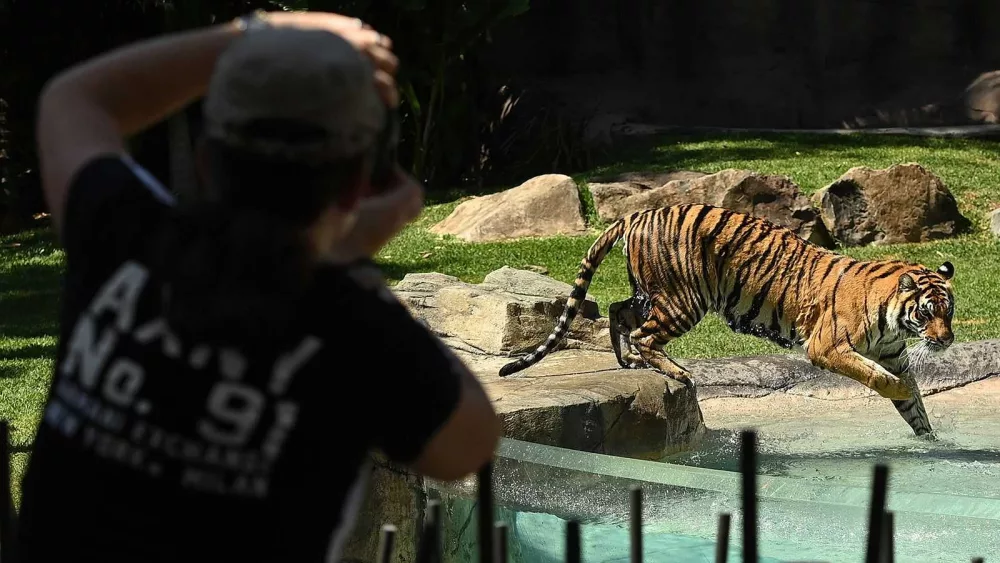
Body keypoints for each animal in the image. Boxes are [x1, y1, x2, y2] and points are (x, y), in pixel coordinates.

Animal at [496, 204, 956, 440]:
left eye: (948, 311)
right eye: (927, 312)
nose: (946, 340)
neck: (895, 320)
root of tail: (639, 214)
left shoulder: (894, 355)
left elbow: (913, 406)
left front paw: (931, 441)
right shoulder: (828, 347)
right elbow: (881, 379)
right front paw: (901, 394)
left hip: (650, 293)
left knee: (616, 309)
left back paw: (627, 361)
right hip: (683, 299)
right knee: (645, 334)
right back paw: (675, 371)